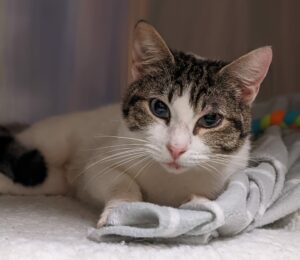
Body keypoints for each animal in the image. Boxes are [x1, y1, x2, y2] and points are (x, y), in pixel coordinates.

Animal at [0, 20, 272, 228]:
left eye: (210, 119)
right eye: (159, 108)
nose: (176, 148)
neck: (170, 181)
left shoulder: (230, 173)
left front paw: (199, 202)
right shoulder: (102, 160)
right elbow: (120, 181)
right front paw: (123, 209)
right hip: (50, 143)